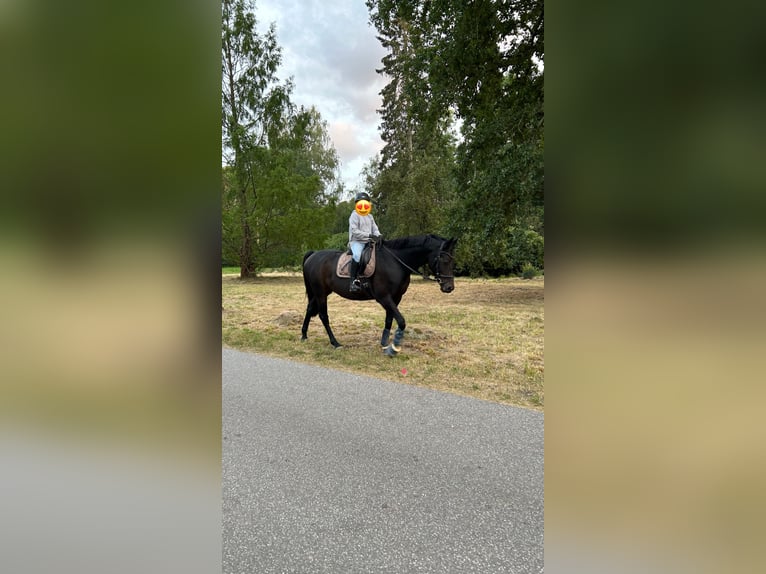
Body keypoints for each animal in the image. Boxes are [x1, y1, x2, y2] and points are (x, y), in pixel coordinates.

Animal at [300, 234, 456, 356]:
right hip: (320, 293)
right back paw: (335, 343)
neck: (395, 262)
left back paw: (304, 335)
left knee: (309, 309)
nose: (449, 287)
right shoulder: (384, 298)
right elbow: (401, 321)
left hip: (319, 293)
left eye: (452, 260)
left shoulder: (396, 298)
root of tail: (313, 255)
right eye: (444, 260)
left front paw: (384, 343)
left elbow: (389, 320)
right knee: (323, 316)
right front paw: (394, 348)